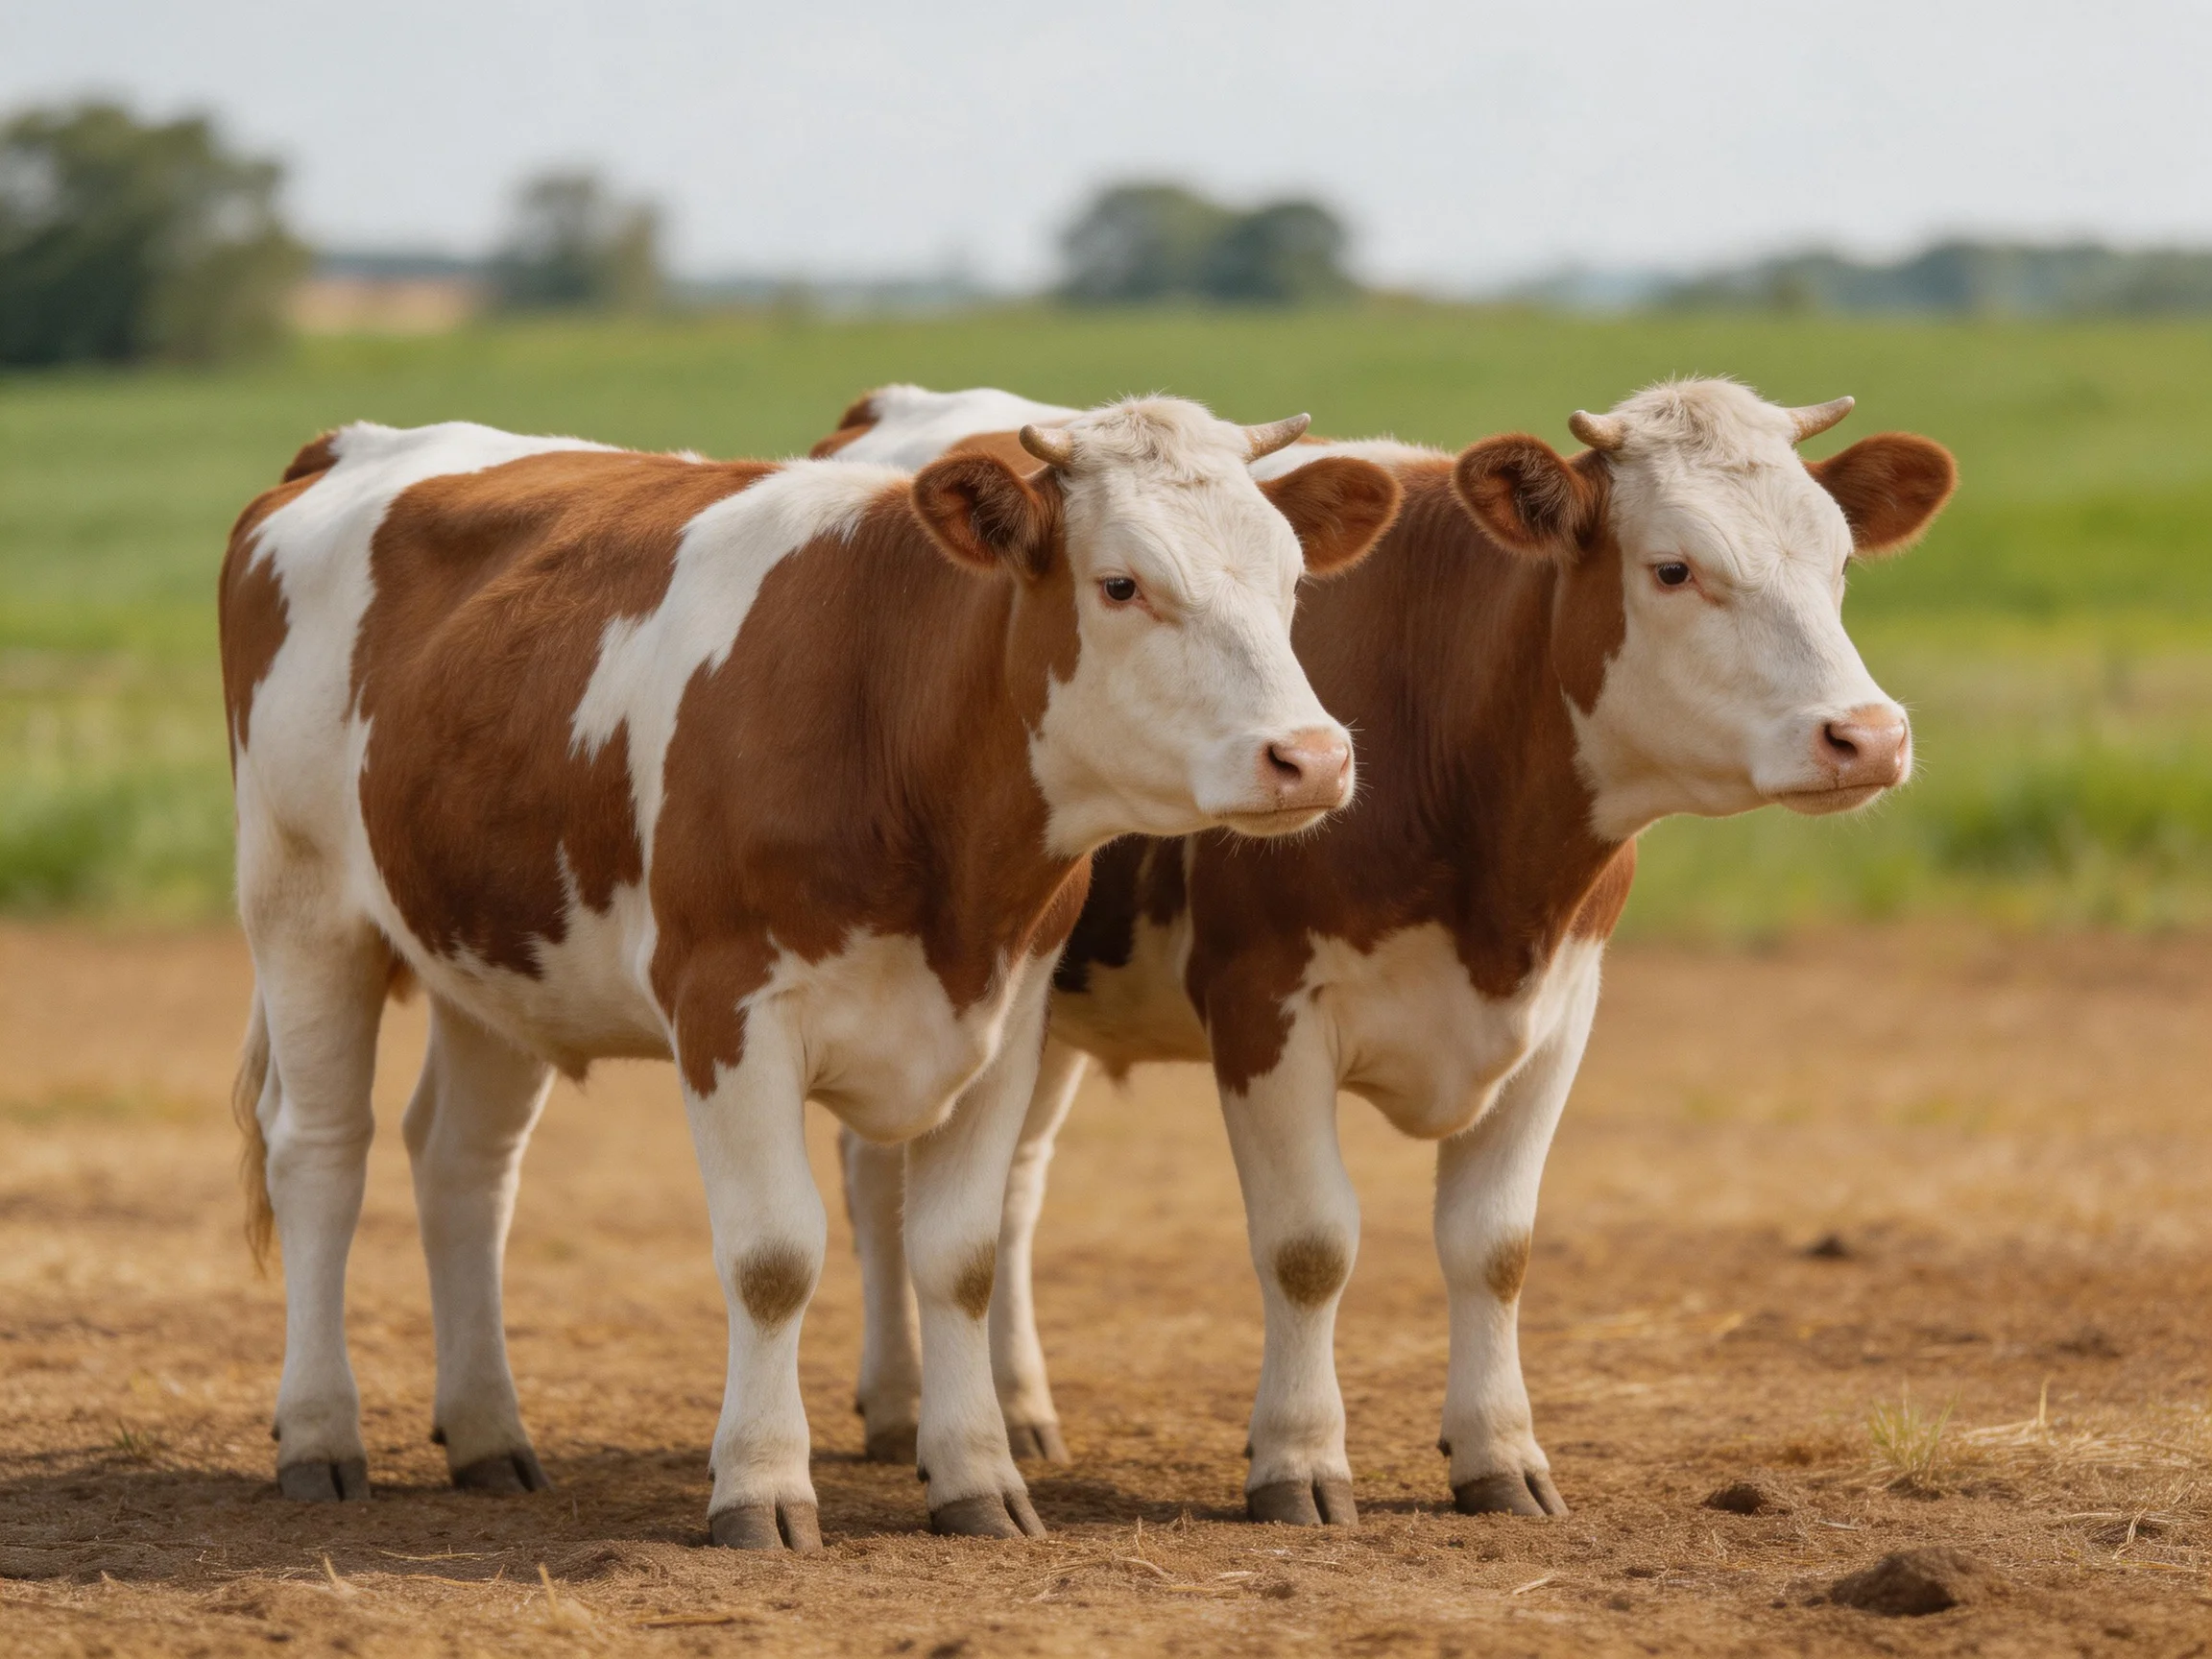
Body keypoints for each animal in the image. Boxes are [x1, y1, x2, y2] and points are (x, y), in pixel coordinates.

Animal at [215, 398, 1403, 1549]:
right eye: (1120, 583)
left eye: (1292, 580)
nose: (1311, 757)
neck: (890, 722)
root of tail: (352, 448)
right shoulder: (727, 1008)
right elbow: (773, 1258)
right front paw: (761, 1489)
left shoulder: (1008, 1014)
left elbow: (960, 1257)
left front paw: (978, 1481)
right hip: (302, 906)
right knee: (320, 1156)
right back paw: (319, 1434)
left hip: (498, 955)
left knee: (462, 1164)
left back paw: (487, 1434)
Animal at [822, 380, 1956, 1523]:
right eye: (1673, 568)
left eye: (1840, 560)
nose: (1866, 735)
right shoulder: (1263, 1003)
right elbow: (1309, 1246)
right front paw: (1300, 1460)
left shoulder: (1562, 1012)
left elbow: (1494, 1248)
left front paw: (1501, 1453)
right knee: (881, 1183)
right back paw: (899, 1405)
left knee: (1008, 1189)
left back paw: (1014, 1409)